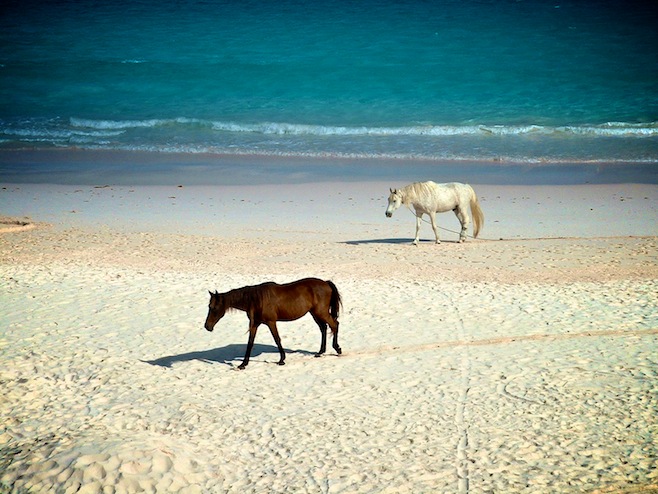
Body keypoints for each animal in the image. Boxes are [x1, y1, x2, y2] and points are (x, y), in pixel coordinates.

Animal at [204, 278, 342, 369]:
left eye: (213, 308)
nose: (207, 326)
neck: (256, 300)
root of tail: (326, 283)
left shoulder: (271, 322)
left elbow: (277, 339)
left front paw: (281, 360)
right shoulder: (255, 324)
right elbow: (250, 343)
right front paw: (243, 364)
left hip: (321, 312)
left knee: (334, 325)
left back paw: (337, 349)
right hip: (314, 313)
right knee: (324, 328)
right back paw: (320, 352)